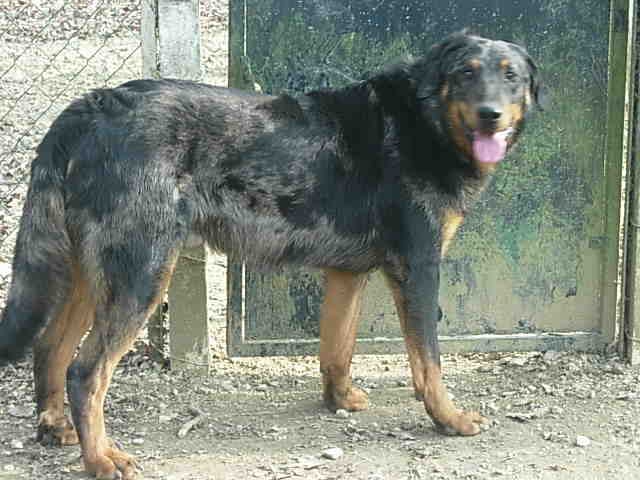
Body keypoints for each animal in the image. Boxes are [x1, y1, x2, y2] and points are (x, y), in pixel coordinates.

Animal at [0, 32, 539, 479]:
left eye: (511, 76)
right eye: (466, 73)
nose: (490, 113)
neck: (425, 120)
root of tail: (91, 105)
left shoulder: (346, 275)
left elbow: (336, 348)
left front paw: (338, 400)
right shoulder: (419, 270)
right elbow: (429, 364)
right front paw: (448, 418)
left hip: (91, 276)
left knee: (50, 348)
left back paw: (54, 428)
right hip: (141, 276)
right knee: (85, 372)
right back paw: (101, 459)